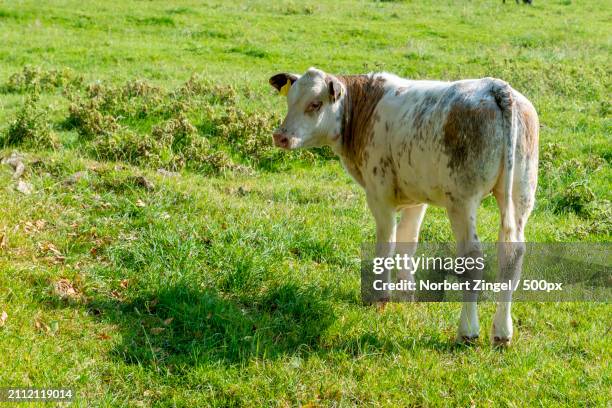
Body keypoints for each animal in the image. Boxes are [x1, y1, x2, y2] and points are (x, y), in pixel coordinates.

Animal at [270, 67, 536, 348]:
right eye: (290, 100)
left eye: (315, 104)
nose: (280, 136)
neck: (366, 106)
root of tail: (496, 87)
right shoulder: (416, 198)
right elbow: (408, 241)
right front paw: (406, 293)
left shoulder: (380, 196)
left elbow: (386, 245)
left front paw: (380, 297)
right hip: (520, 194)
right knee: (512, 256)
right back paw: (502, 332)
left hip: (462, 201)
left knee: (472, 259)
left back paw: (468, 331)